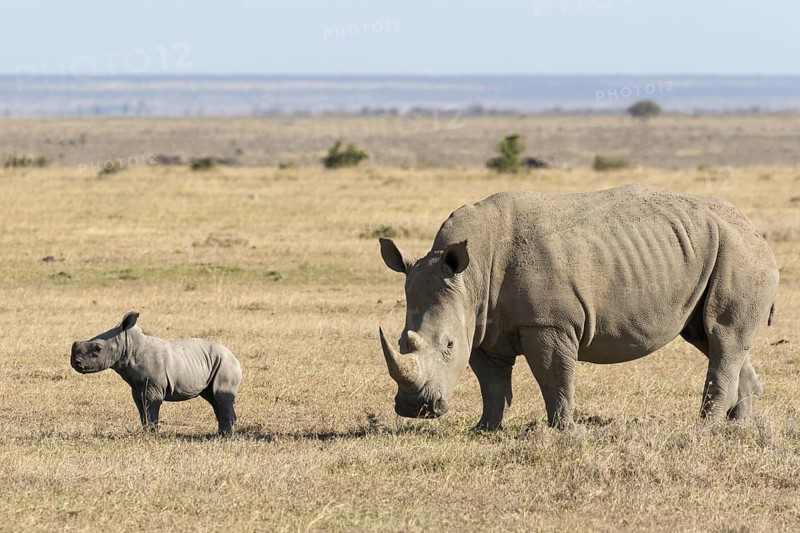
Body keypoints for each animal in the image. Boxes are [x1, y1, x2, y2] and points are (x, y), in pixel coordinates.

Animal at [71, 312, 242, 436]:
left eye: (98, 349)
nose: (75, 362)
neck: (129, 345)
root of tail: (235, 357)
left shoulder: (153, 387)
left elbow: (151, 408)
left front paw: (153, 435)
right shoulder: (137, 387)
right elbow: (142, 410)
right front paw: (146, 433)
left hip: (225, 363)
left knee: (221, 396)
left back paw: (224, 437)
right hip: (212, 364)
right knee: (213, 398)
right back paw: (220, 434)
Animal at [378, 185, 778, 429]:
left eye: (447, 345)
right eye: (400, 342)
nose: (415, 409)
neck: (471, 276)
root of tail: (755, 229)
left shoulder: (548, 324)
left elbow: (554, 376)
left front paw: (563, 431)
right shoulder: (479, 325)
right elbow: (491, 382)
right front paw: (485, 429)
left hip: (741, 253)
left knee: (722, 336)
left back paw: (705, 428)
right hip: (719, 250)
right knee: (711, 338)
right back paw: (737, 427)